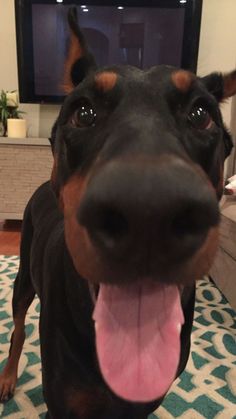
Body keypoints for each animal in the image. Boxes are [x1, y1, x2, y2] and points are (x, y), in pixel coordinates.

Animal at [0, 7, 235, 419]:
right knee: (17, 330)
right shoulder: (64, 403)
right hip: (24, 279)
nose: (149, 211)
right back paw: (9, 377)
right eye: (83, 111)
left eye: (201, 113)